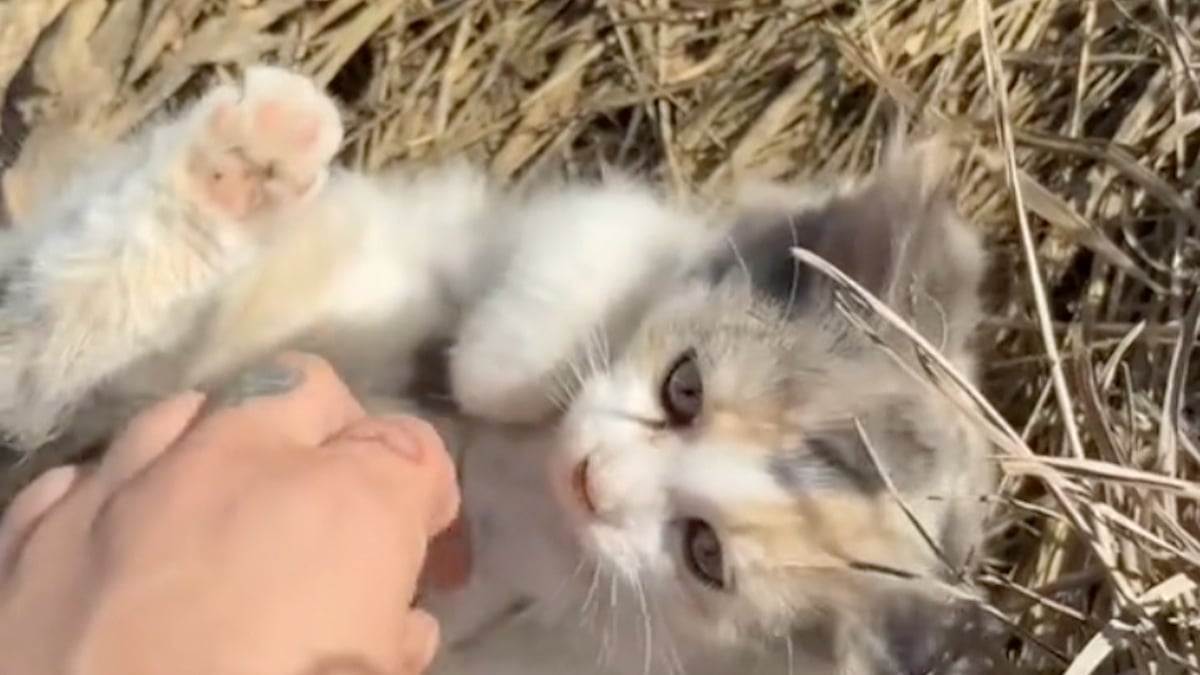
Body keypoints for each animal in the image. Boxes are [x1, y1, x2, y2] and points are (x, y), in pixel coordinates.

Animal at [0, 64, 993, 672]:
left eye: (704, 553)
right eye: (685, 387)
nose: (591, 476)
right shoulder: (608, 223)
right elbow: (571, 268)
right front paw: (494, 363)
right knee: (59, 312)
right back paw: (251, 156)